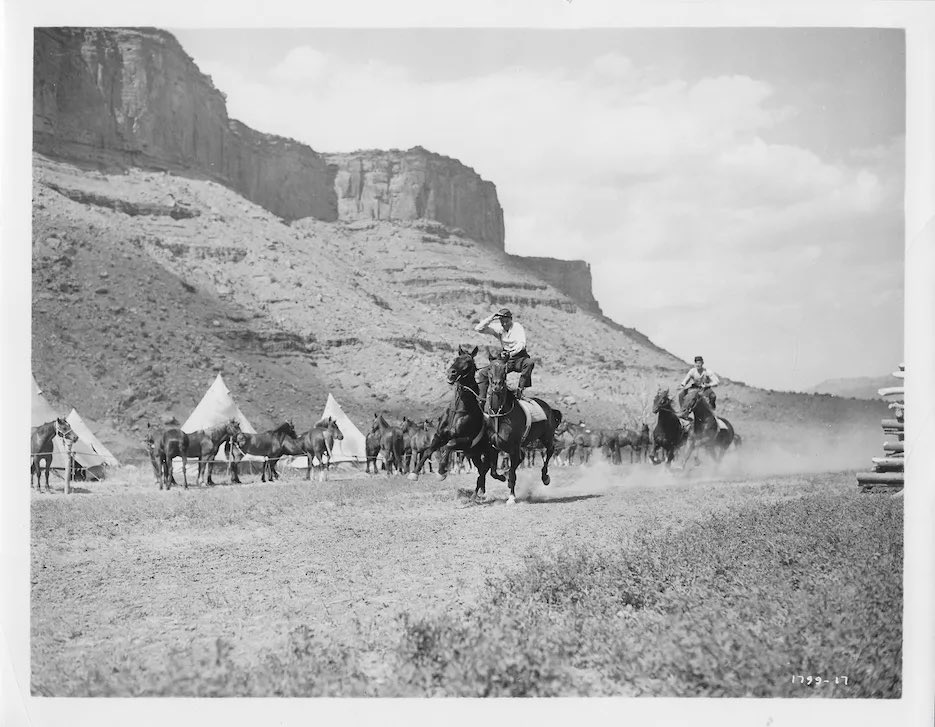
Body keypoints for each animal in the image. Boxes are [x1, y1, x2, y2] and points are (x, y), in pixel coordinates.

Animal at [482, 356, 564, 504]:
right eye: (489, 368)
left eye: (505, 369)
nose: (497, 385)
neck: (499, 414)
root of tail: (549, 408)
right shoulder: (493, 446)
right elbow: (494, 472)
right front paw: (503, 477)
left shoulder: (513, 447)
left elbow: (513, 474)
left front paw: (511, 497)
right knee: (522, 458)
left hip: (546, 437)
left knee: (549, 451)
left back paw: (545, 477)